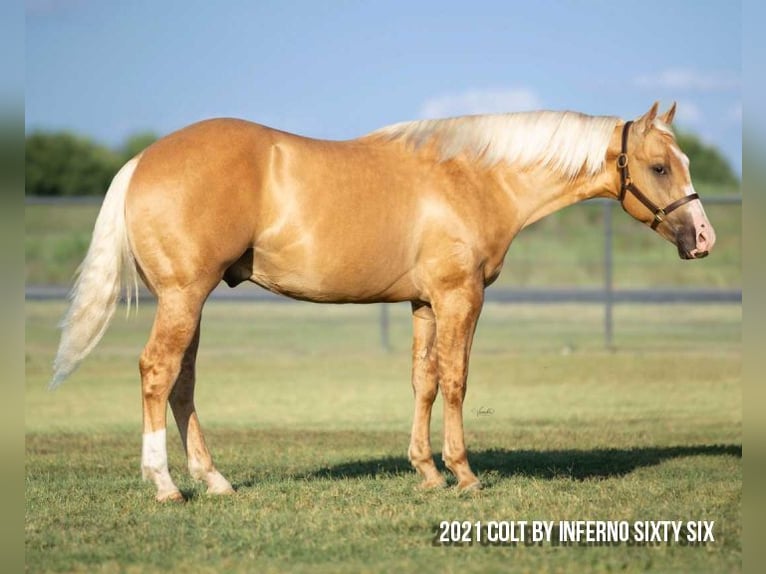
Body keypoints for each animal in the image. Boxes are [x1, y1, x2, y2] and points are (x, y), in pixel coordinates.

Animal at [50, 101, 716, 501]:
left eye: (682, 162)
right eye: (659, 166)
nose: (704, 238)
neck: (472, 177)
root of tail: (142, 160)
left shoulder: (424, 304)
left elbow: (423, 381)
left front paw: (425, 472)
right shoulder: (459, 297)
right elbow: (456, 380)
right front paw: (464, 474)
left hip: (189, 302)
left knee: (182, 383)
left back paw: (213, 479)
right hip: (183, 297)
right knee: (157, 372)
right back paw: (165, 484)